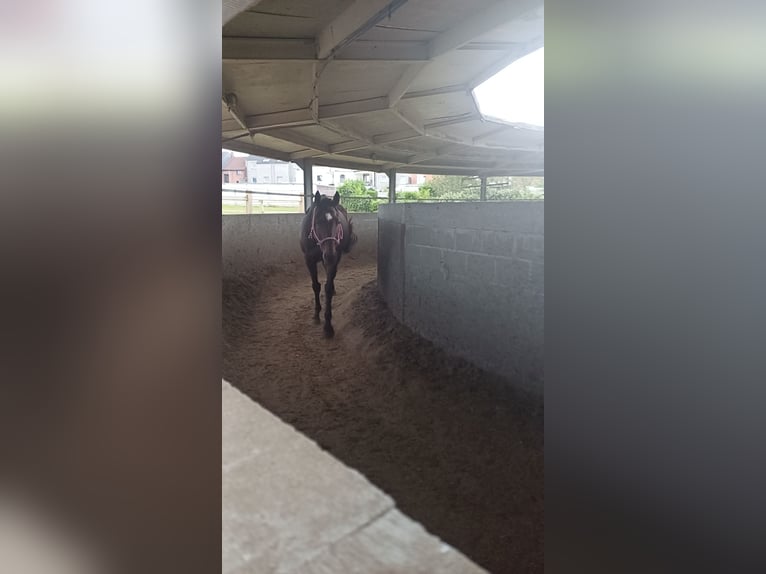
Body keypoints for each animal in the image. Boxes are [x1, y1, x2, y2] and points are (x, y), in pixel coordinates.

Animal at [302, 192, 358, 338]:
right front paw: (316, 315)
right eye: (318, 221)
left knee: (332, 279)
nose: (330, 255)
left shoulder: (333, 260)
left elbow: (326, 288)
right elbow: (316, 286)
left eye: (338, 222)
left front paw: (328, 326)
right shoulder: (309, 260)